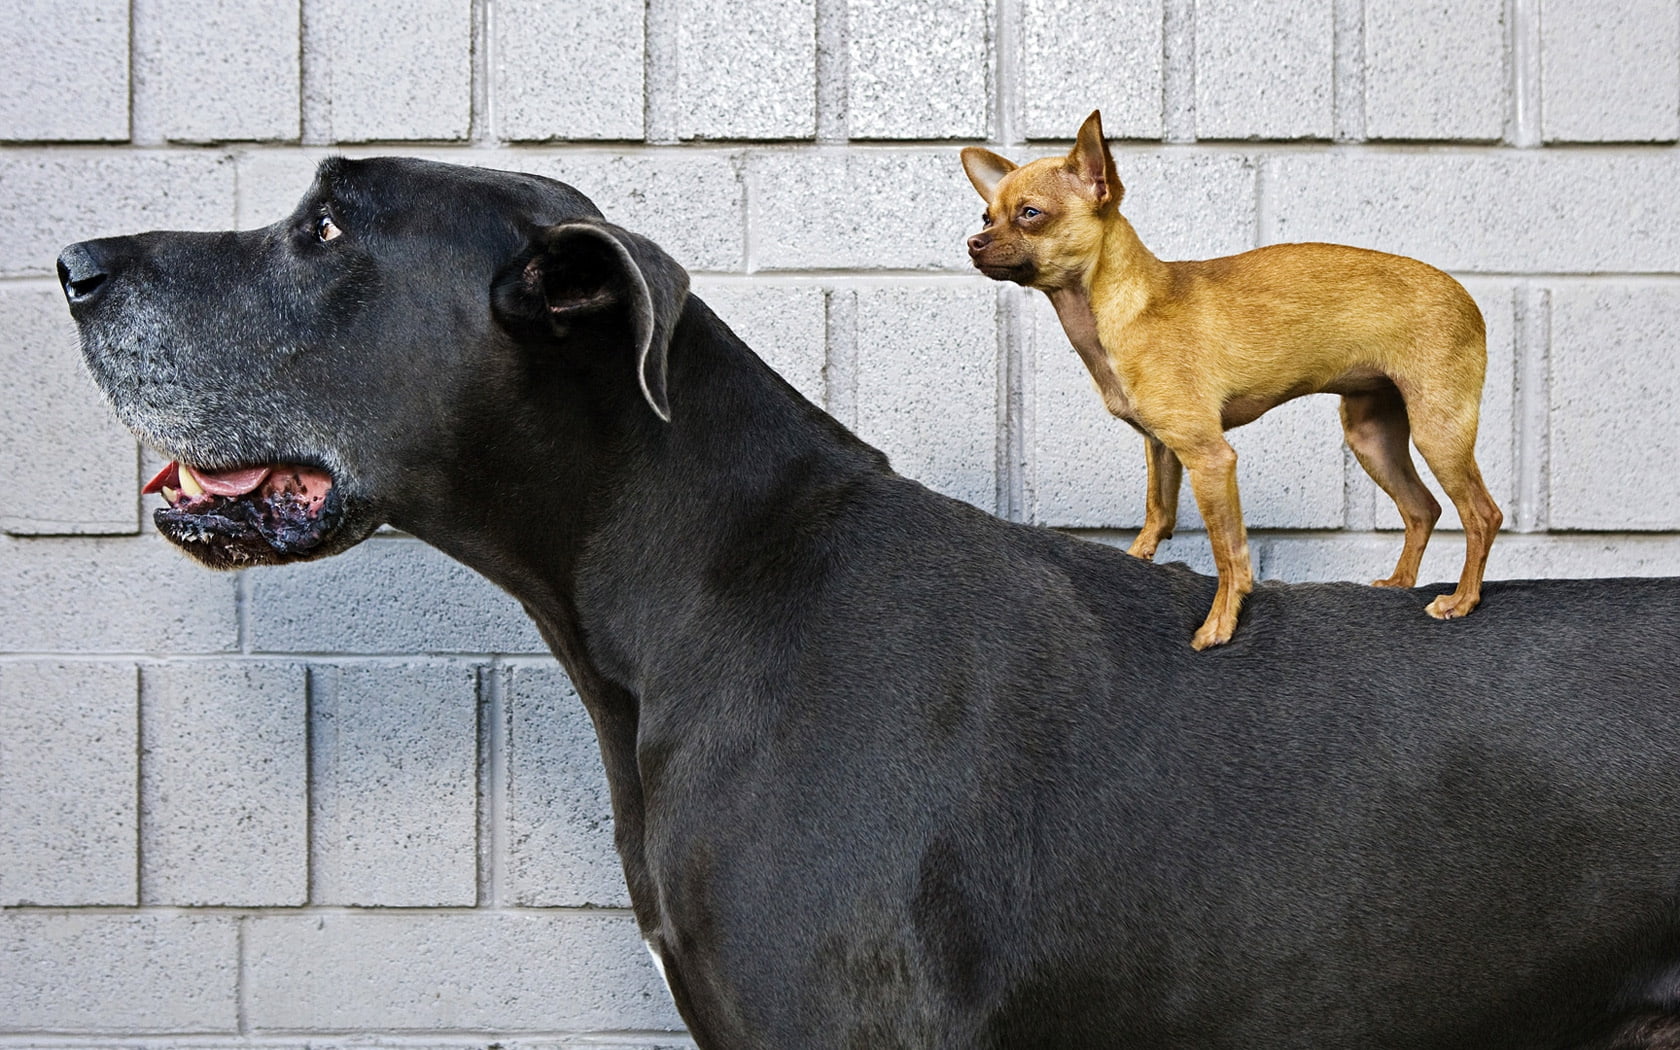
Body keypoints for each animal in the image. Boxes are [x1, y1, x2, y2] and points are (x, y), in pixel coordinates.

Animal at [967, 108, 1505, 648]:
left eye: (1031, 214)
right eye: (986, 217)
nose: (972, 242)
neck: (1120, 307)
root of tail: (1467, 296)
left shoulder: (1210, 458)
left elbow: (1230, 553)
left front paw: (1220, 623)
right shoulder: (1162, 447)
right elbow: (1158, 513)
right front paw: (1136, 560)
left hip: (1437, 431)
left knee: (1482, 514)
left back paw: (1462, 600)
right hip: (1372, 437)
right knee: (1422, 509)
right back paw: (1400, 583)